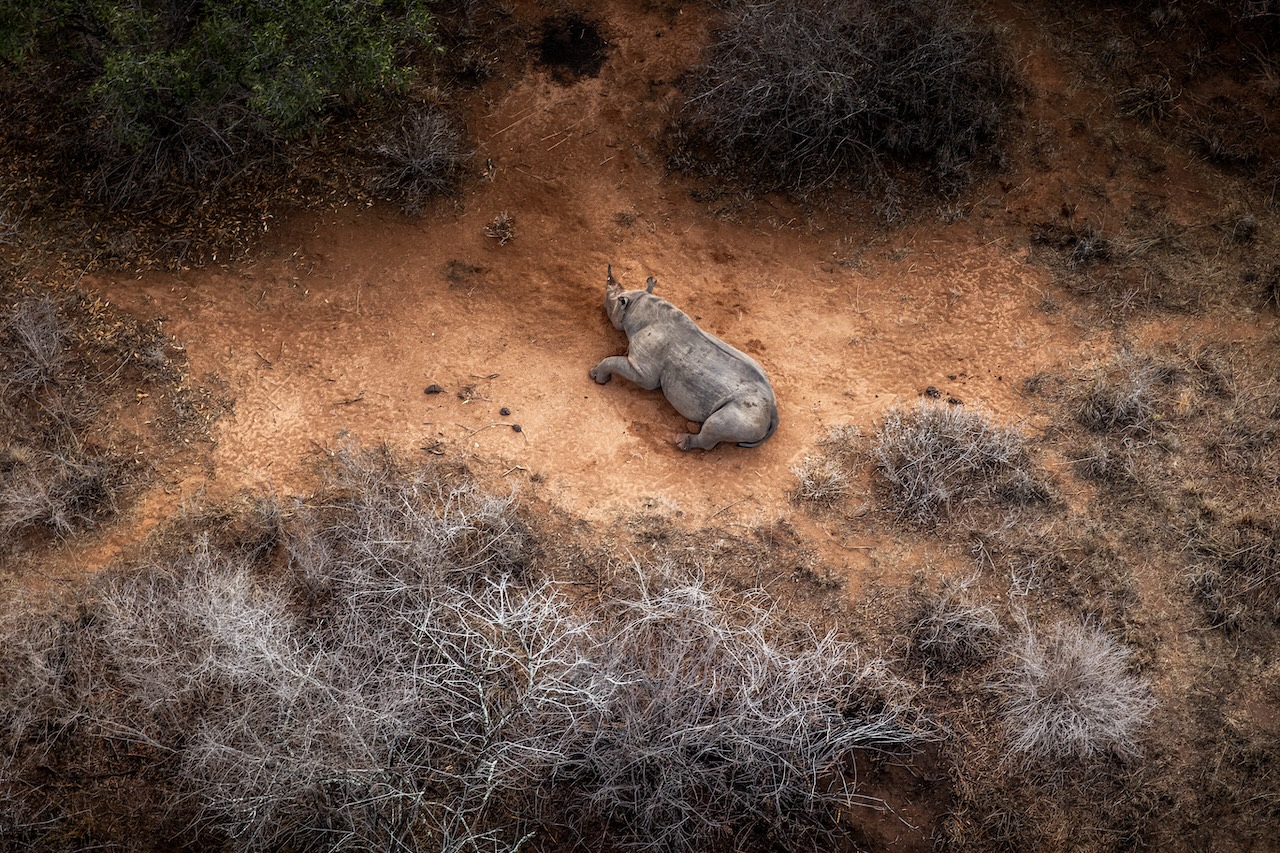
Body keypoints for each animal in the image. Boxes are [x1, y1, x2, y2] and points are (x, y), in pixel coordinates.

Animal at [589, 266, 779, 451]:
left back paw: (681, 442)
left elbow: (614, 362)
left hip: (746, 411)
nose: (602, 302)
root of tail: (773, 411)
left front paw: (596, 377)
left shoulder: (643, 371)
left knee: (715, 425)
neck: (637, 306)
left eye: (610, 299)